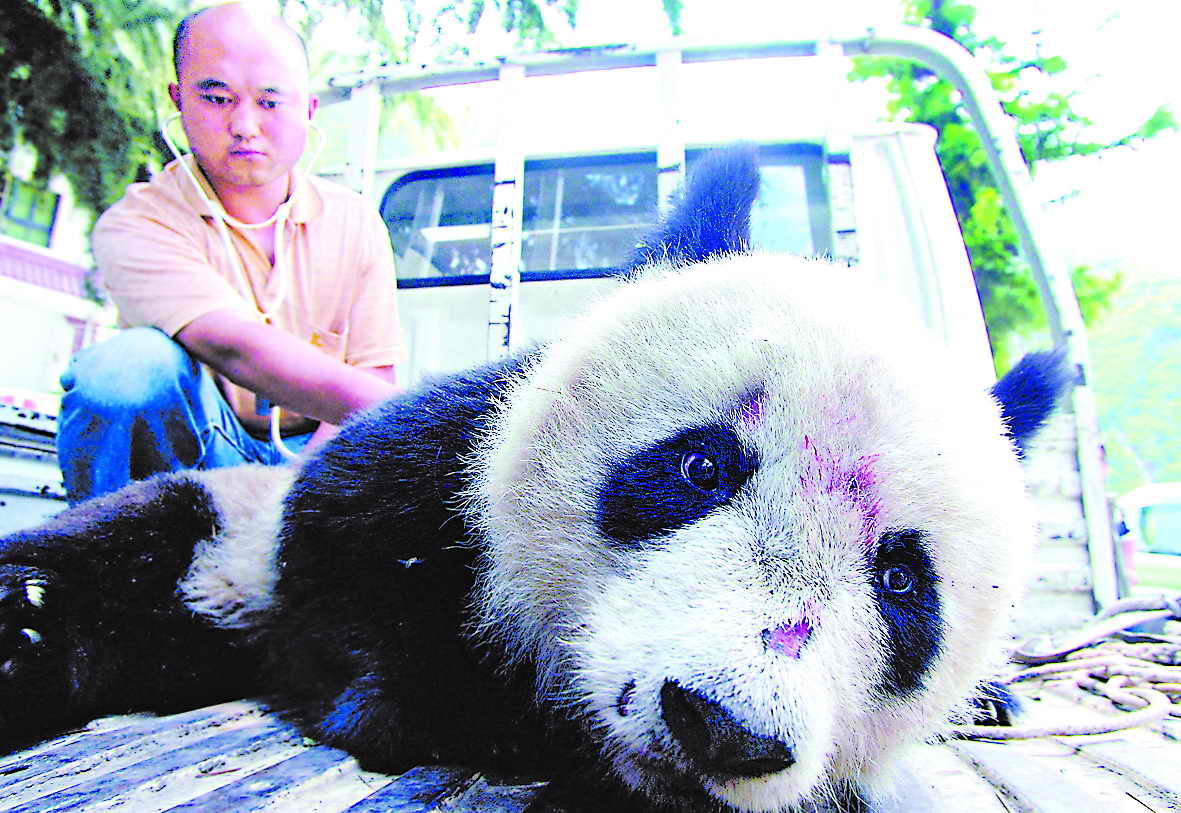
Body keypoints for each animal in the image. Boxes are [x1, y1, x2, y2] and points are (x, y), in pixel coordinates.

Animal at [0, 147, 1072, 813]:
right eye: (699, 466)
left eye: (900, 583)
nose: (723, 725)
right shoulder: (416, 462)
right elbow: (347, 559)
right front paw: (435, 696)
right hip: (223, 531)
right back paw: (28, 624)